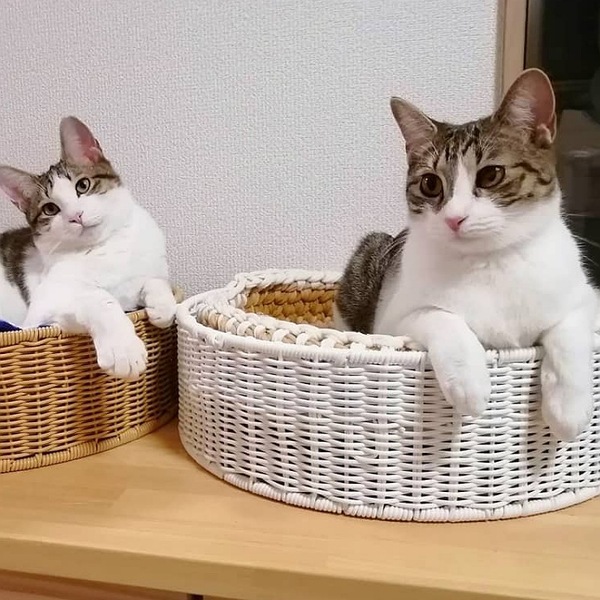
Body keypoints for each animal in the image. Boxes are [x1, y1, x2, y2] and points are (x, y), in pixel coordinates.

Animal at [0, 116, 176, 380]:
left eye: (83, 185)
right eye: (50, 209)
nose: (76, 215)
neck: (105, 246)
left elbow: (156, 280)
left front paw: (163, 305)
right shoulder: (42, 311)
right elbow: (98, 298)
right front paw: (123, 349)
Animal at [334, 69, 597, 442]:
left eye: (491, 175)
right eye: (430, 184)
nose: (454, 218)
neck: (490, 261)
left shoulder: (586, 298)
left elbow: (570, 330)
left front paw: (569, 409)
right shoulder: (392, 321)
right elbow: (440, 317)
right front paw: (469, 385)